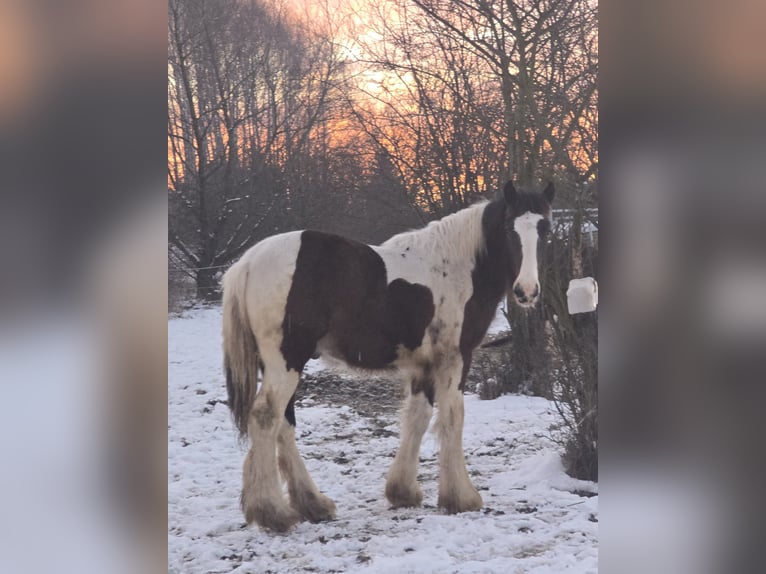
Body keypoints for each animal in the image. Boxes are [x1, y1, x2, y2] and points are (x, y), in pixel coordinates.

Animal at [222, 180, 554, 531]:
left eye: (545, 230)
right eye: (508, 229)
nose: (527, 291)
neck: (461, 266)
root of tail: (248, 262)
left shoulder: (423, 365)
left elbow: (418, 417)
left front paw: (403, 491)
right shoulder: (455, 358)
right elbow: (452, 417)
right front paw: (462, 497)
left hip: (281, 364)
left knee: (283, 423)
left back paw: (312, 504)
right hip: (287, 361)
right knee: (266, 417)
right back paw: (272, 512)